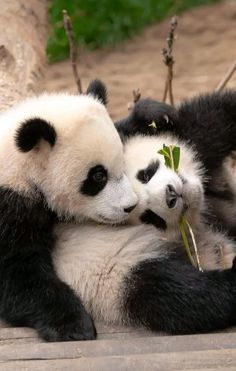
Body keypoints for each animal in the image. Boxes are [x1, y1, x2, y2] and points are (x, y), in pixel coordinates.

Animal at [0, 80, 137, 342]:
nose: (130, 205)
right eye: (98, 176)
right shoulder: (7, 205)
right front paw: (73, 325)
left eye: (123, 165)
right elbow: (18, 271)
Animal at [115, 91, 236, 240]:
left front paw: (156, 115)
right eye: (150, 217)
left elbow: (222, 110)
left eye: (145, 175)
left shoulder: (196, 136)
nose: (171, 195)